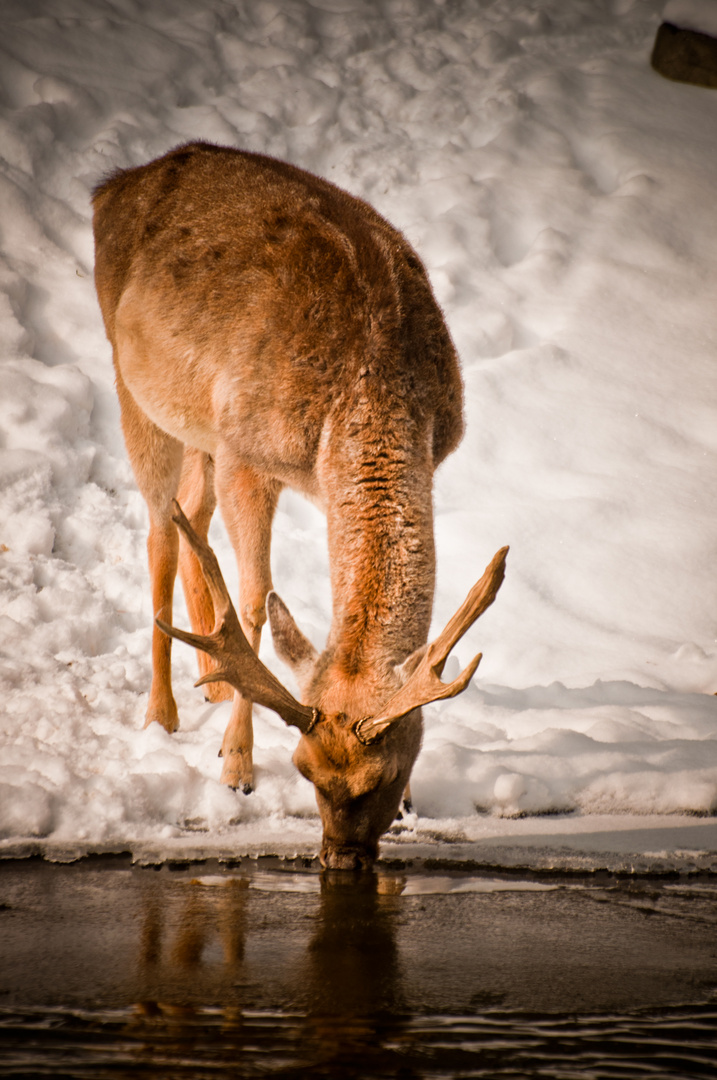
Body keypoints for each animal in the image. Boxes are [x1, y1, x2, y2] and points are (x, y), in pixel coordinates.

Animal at [92, 141, 509, 868]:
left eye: (387, 774)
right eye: (303, 770)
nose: (339, 859)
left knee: (191, 516)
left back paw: (214, 677)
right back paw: (162, 713)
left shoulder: (431, 453)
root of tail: (110, 188)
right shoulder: (247, 454)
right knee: (160, 530)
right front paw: (235, 766)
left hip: (199, 423)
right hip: (132, 381)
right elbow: (255, 601)